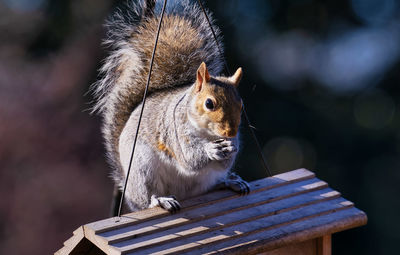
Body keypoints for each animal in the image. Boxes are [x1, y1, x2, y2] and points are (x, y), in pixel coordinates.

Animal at [90, 0, 250, 213]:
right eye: (209, 103)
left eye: (241, 105)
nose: (230, 132)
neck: (206, 133)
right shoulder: (174, 131)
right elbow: (189, 158)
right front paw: (210, 150)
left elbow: (224, 163)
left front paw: (232, 146)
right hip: (142, 169)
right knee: (147, 198)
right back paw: (160, 200)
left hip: (204, 179)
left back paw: (230, 182)